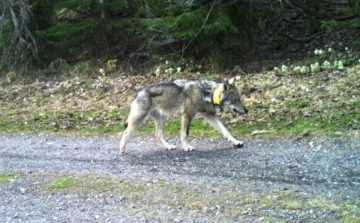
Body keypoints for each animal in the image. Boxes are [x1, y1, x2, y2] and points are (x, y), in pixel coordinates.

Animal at [120, 77, 248, 153]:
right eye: (235, 100)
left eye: (240, 99)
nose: (246, 111)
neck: (209, 94)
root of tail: (138, 92)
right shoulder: (187, 115)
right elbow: (184, 134)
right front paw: (186, 147)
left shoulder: (210, 117)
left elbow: (225, 131)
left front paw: (236, 142)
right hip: (139, 120)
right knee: (126, 132)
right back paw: (122, 149)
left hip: (162, 119)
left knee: (157, 135)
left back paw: (168, 146)